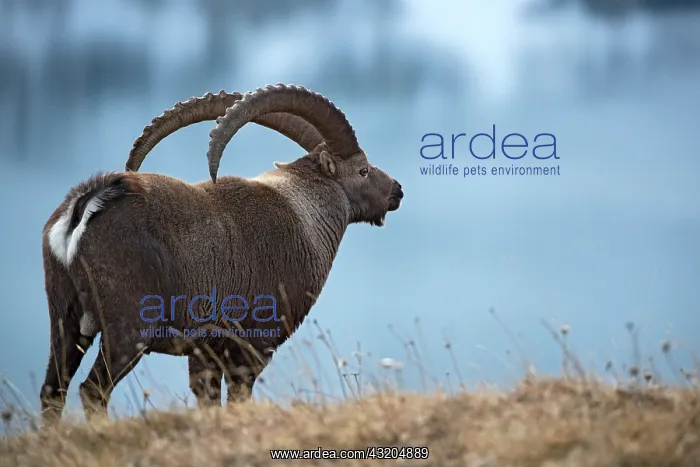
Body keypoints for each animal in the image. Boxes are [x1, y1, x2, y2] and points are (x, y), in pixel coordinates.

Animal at [39, 84, 404, 424]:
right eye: (362, 171)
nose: (397, 190)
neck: (305, 215)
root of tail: (86, 206)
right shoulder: (254, 343)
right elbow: (239, 395)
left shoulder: (205, 352)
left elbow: (208, 398)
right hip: (128, 329)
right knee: (93, 390)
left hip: (66, 322)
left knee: (52, 392)